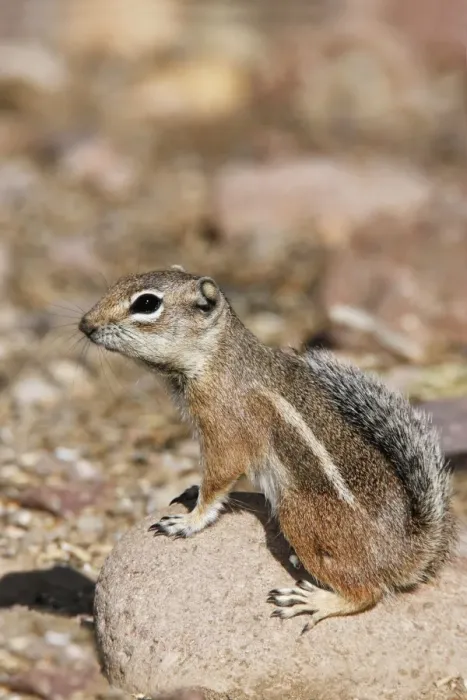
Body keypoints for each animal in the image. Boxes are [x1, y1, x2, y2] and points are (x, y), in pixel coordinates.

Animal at [79, 267, 456, 630]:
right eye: (119, 282)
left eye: (146, 304)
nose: (85, 324)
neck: (217, 356)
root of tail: (406, 552)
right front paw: (191, 492)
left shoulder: (224, 430)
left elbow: (219, 480)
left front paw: (190, 521)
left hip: (299, 514)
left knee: (368, 593)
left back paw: (316, 601)